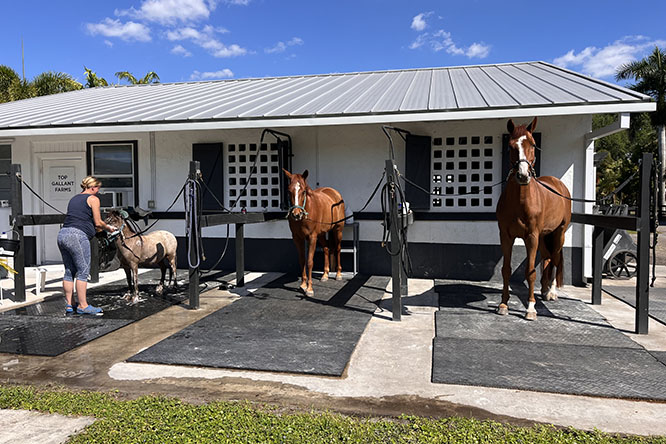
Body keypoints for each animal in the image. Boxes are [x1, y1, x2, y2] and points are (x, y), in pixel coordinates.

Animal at [495, 117, 572, 320]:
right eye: (511, 146)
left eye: (533, 144)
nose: (523, 175)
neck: (520, 201)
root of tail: (558, 183)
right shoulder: (506, 236)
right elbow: (506, 270)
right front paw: (503, 304)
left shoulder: (531, 237)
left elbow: (530, 272)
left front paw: (530, 308)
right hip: (545, 236)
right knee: (547, 258)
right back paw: (544, 290)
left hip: (558, 234)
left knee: (555, 259)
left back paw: (551, 292)